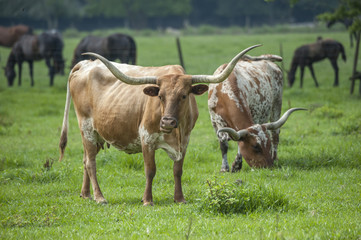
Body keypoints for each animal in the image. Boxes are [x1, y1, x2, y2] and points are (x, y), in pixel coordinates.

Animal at [58, 44, 258, 204]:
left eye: (183, 96)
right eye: (160, 96)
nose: (167, 121)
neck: (174, 133)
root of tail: (85, 64)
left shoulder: (185, 141)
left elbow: (178, 170)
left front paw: (179, 198)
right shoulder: (146, 138)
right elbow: (150, 170)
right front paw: (147, 200)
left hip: (96, 134)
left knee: (85, 160)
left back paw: (86, 194)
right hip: (87, 128)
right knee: (91, 163)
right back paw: (100, 197)